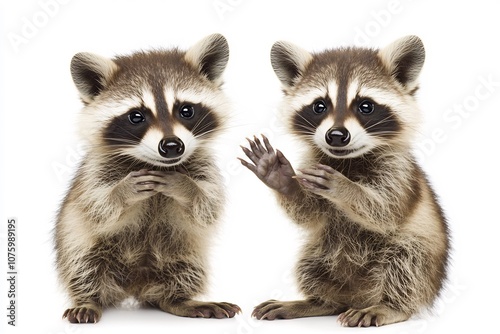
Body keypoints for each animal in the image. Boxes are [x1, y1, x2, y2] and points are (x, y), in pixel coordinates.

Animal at [56, 34, 240, 324]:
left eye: (186, 110)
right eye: (136, 116)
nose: (173, 146)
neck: (156, 164)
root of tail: (135, 285)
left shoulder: (205, 167)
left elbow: (208, 207)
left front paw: (186, 188)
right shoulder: (95, 172)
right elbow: (98, 207)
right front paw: (121, 192)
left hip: (184, 254)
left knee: (183, 273)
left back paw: (179, 300)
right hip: (80, 245)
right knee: (83, 268)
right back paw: (88, 299)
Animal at [240, 36, 452, 326]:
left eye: (366, 106)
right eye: (319, 106)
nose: (336, 135)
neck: (348, 159)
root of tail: (357, 297)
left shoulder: (399, 172)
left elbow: (385, 211)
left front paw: (346, 189)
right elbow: (309, 212)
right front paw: (283, 181)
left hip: (424, 261)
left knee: (408, 261)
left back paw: (390, 305)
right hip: (321, 252)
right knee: (310, 266)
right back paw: (318, 302)